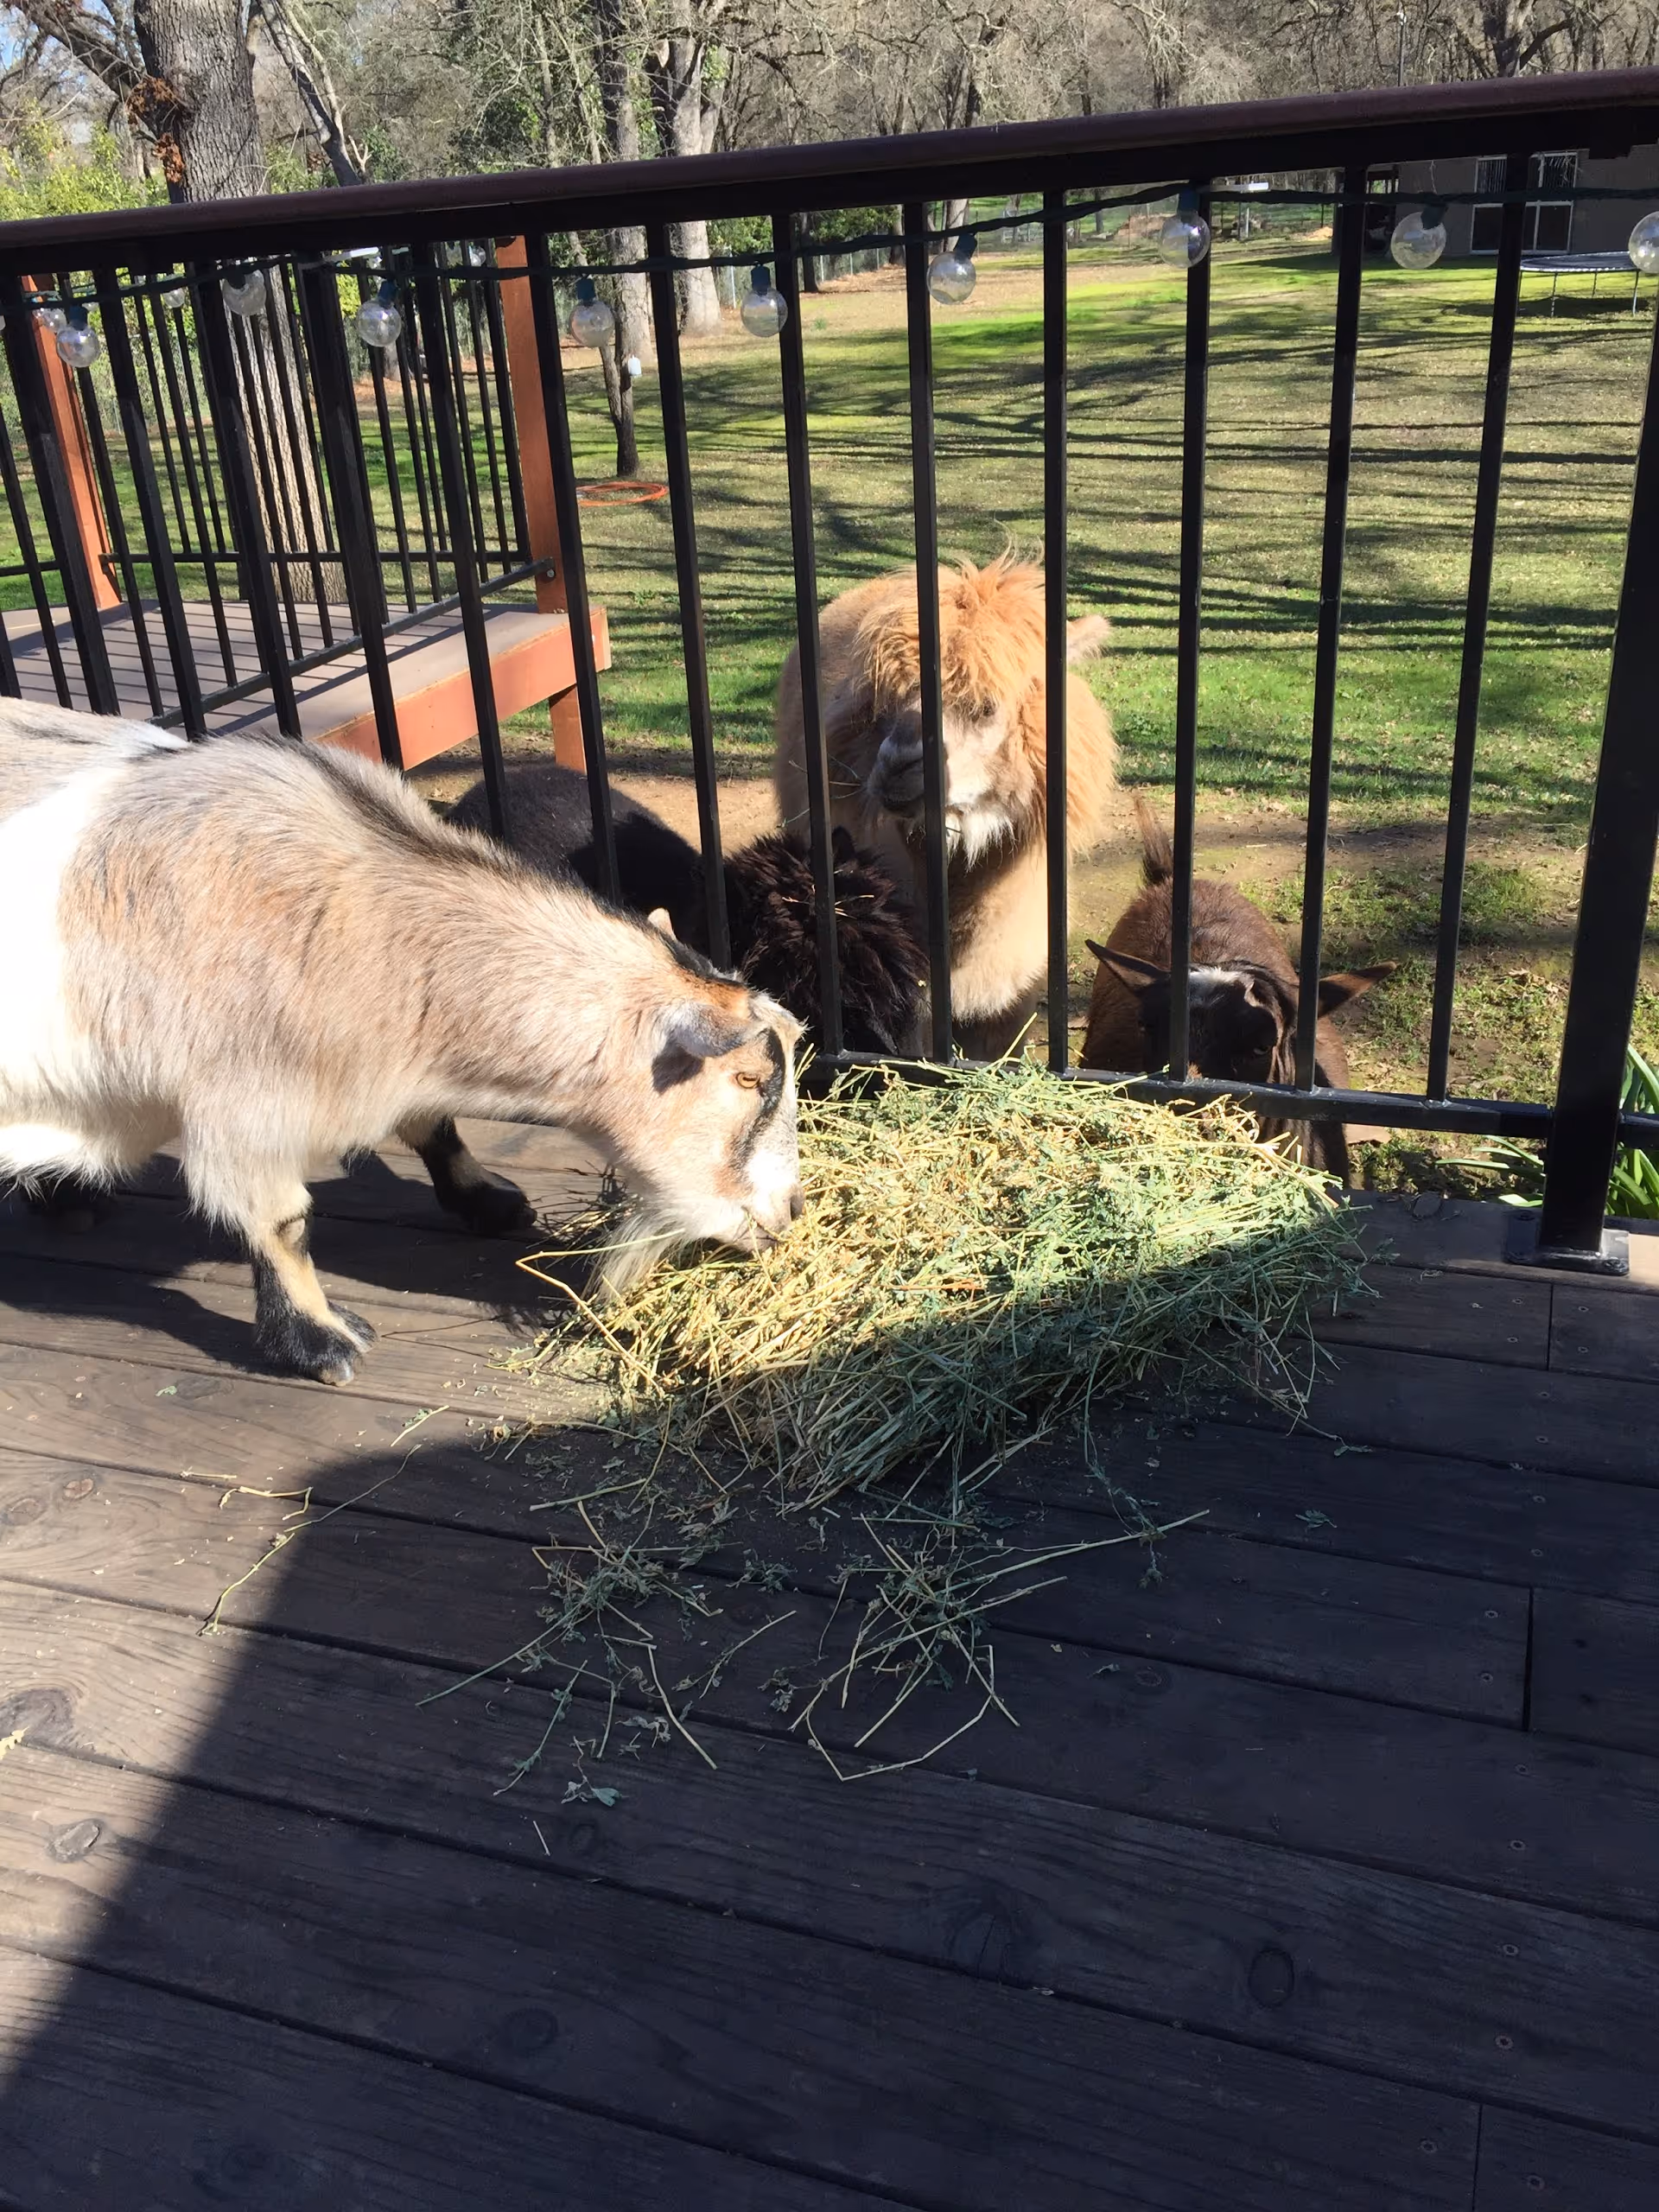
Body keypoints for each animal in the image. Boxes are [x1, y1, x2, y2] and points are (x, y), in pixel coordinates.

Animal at [0, 701, 804, 1385]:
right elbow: (280, 1221)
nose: (792, 1213)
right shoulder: (243, 1104)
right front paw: (319, 1340)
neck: (353, 914)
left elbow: (433, 1124)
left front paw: (488, 1203)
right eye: (748, 1080)